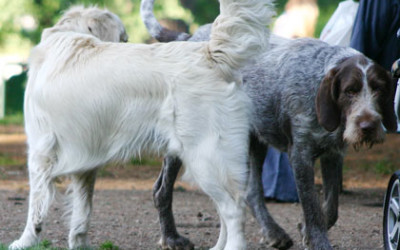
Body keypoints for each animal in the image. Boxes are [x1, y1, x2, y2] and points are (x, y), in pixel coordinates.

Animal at [9, 0, 274, 249]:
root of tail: (210, 52)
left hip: (206, 158)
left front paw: (25, 241)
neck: (64, 34)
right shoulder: (85, 163)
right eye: (123, 38)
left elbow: (36, 208)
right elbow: (82, 212)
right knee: (226, 208)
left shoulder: (40, 153)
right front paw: (80, 244)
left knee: (234, 208)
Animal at [141, 0, 396, 249]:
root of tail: (191, 37)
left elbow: (331, 208)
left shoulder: (333, 154)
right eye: (349, 91)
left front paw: (305, 230)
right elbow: (313, 209)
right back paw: (171, 237)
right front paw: (318, 241)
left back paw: (272, 231)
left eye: (379, 89)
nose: (368, 126)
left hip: (253, 141)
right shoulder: (300, 156)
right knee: (161, 191)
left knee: (252, 192)